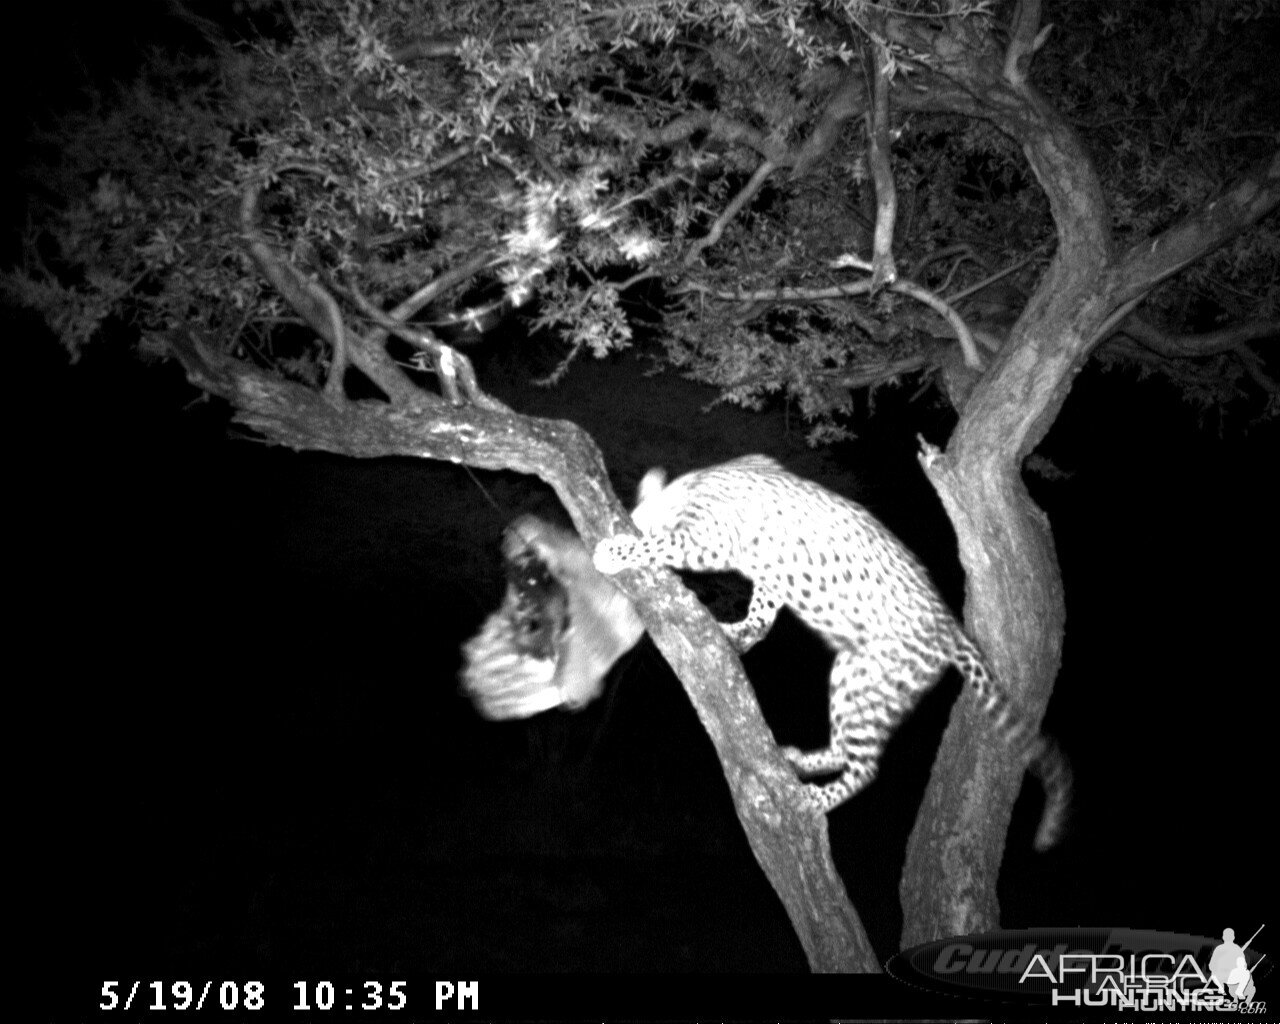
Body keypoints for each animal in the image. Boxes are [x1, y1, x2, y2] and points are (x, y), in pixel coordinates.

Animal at [593, 453, 1075, 849]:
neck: (689, 487)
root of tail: (951, 629)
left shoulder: (710, 538)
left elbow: (662, 544)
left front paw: (615, 550)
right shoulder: (769, 571)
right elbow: (763, 614)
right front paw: (740, 633)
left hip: (869, 681)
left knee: (867, 767)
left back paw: (813, 799)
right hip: (856, 673)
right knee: (848, 747)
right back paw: (801, 761)